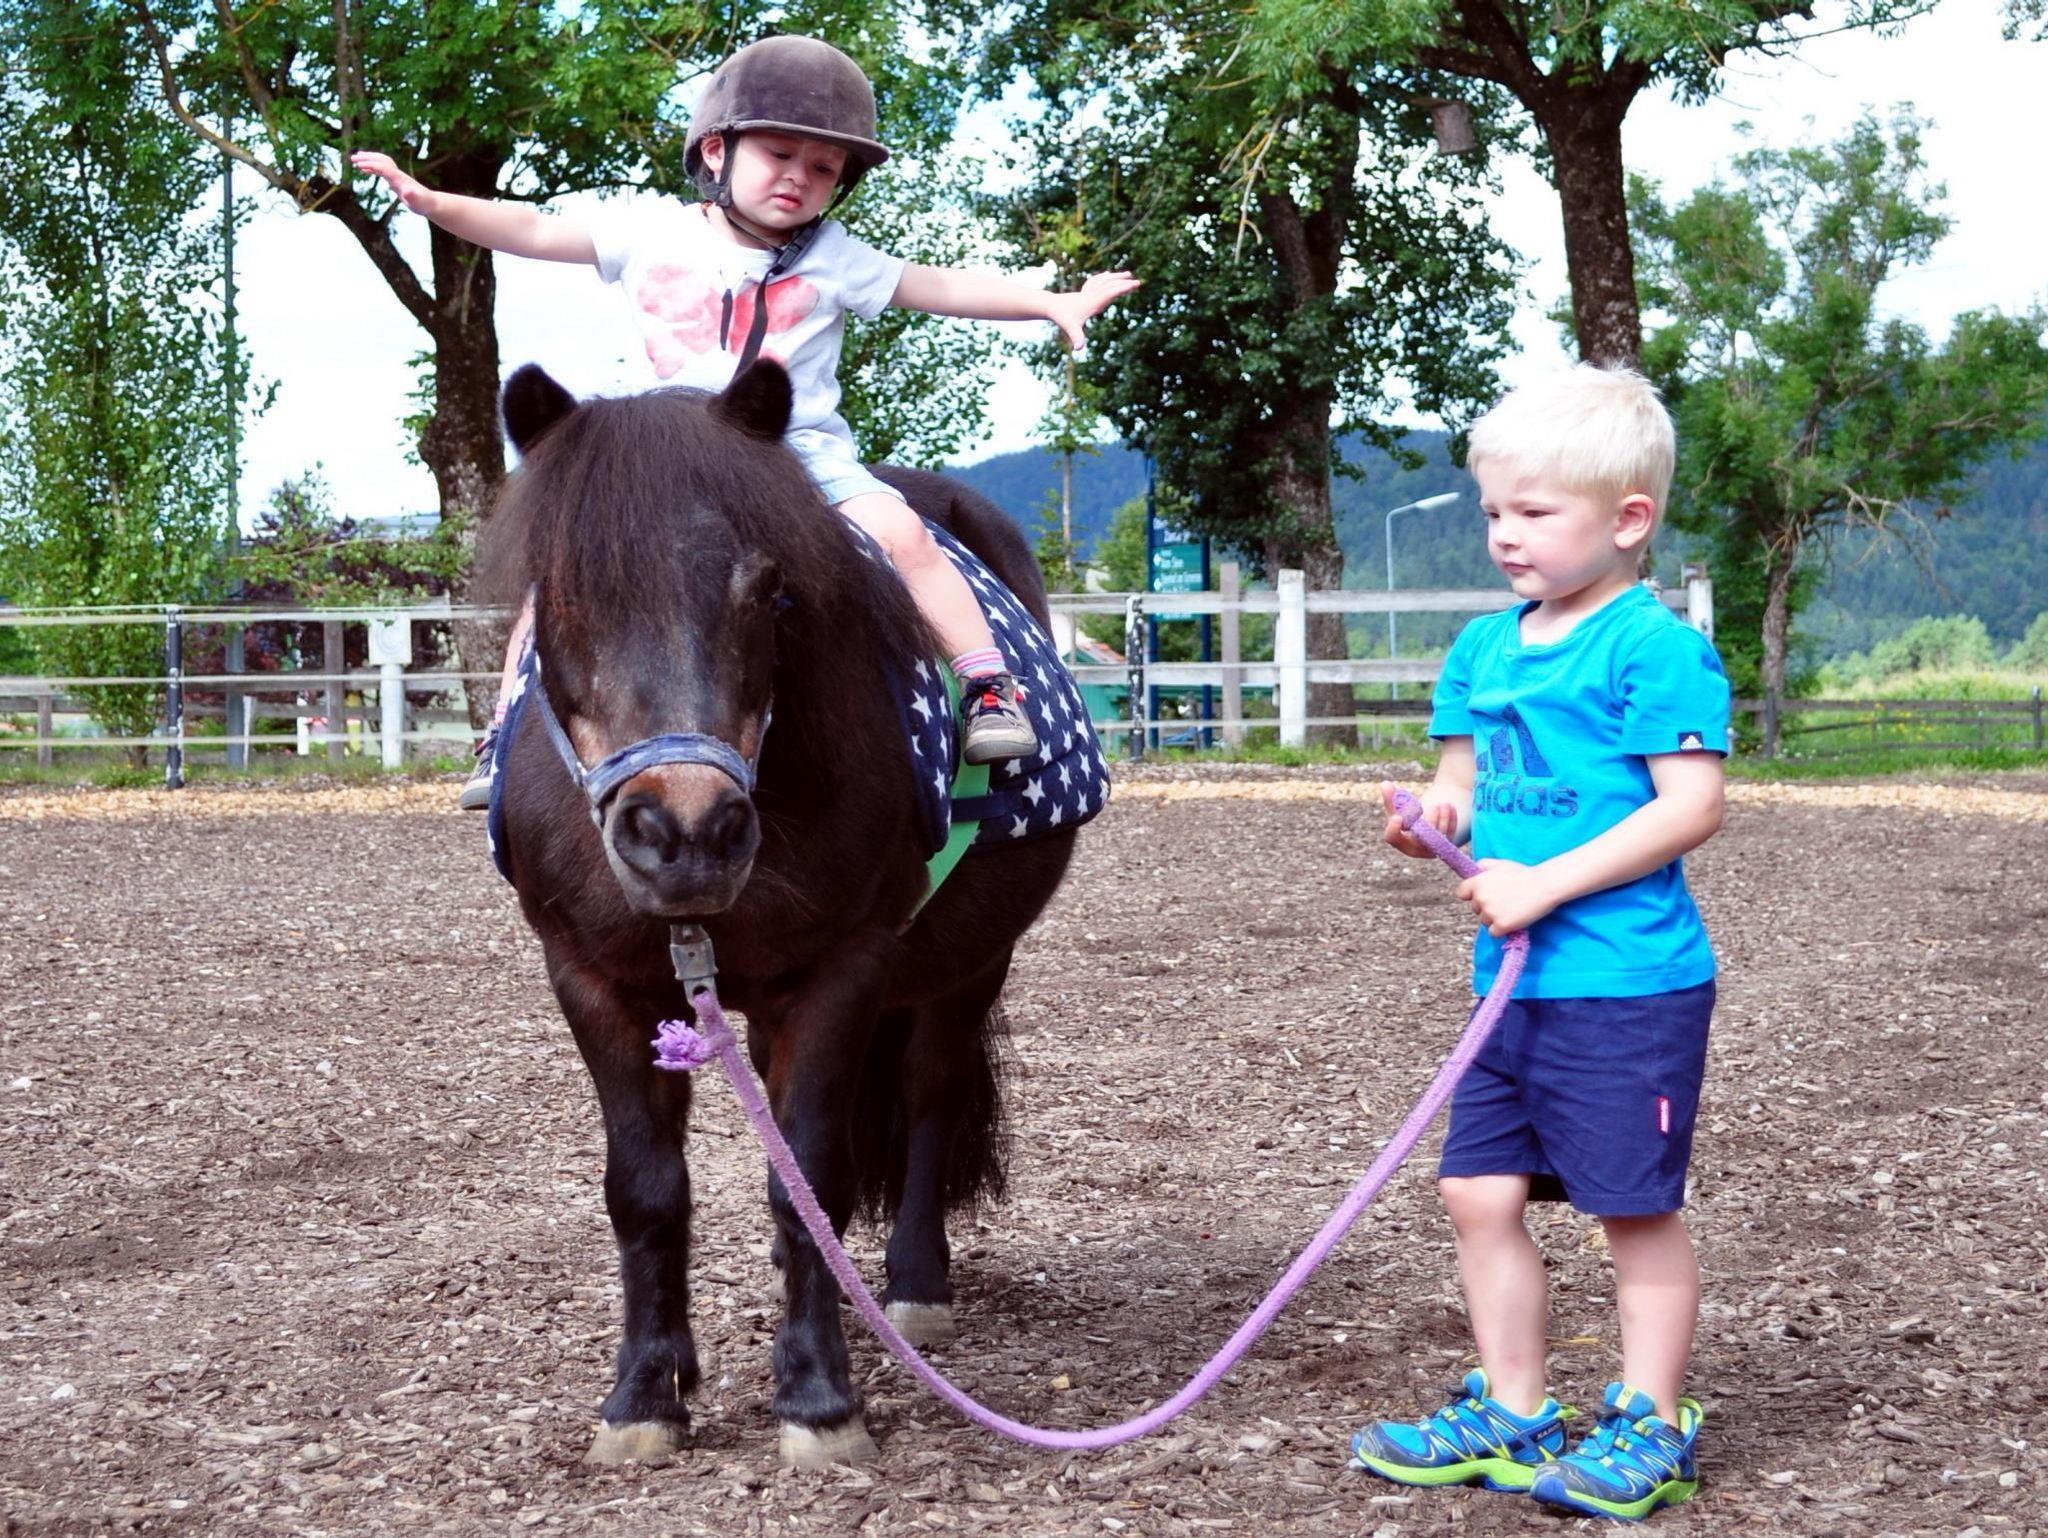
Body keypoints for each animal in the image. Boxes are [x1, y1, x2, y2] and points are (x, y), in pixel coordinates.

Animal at [479, 360, 1079, 1468]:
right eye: (564, 591)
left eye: (765, 591)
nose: (687, 830)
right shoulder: (589, 978)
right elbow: (645, 1188)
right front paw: (645, 1392)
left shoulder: (841, 972)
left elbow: (810, 1173)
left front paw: (817, 1395)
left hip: (971, 963)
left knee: (929, 1096)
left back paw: (914, 1286)